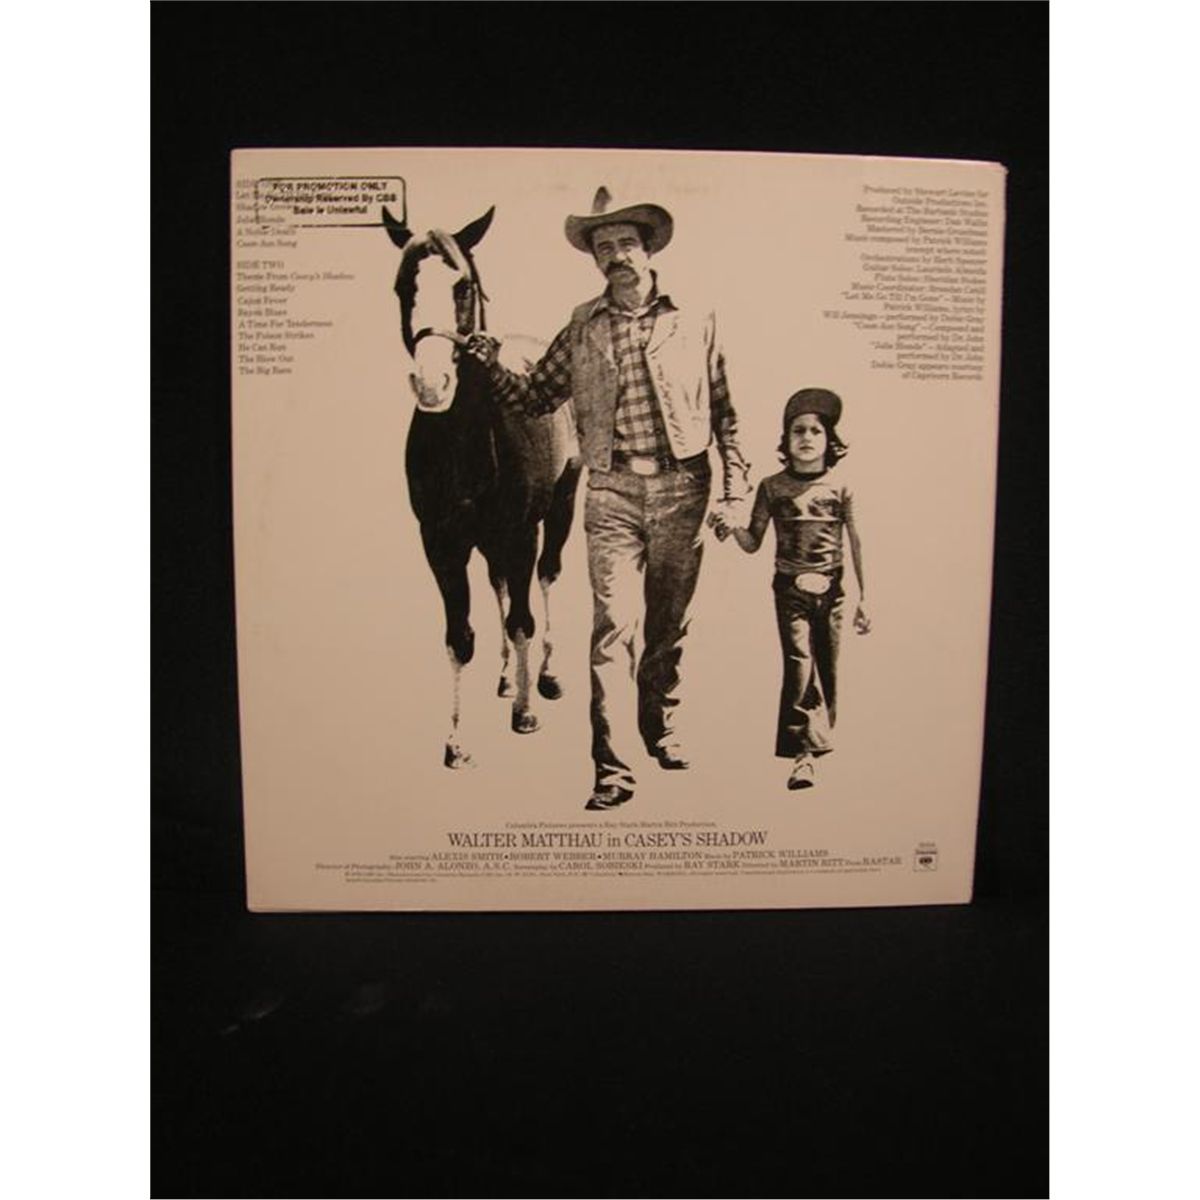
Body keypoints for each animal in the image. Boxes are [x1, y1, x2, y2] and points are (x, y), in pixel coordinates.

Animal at [382, 204, 582, 768]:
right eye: (403, 286)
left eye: (463, 286)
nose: (432, 386)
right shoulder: (440, 543)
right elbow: (459, 636)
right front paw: (456, 742)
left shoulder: (521, 533)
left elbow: (522, 619)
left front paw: (526, 712)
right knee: (497, 584)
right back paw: (505, 677)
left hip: (561, 505)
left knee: (547, 576)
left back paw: (546, 676)